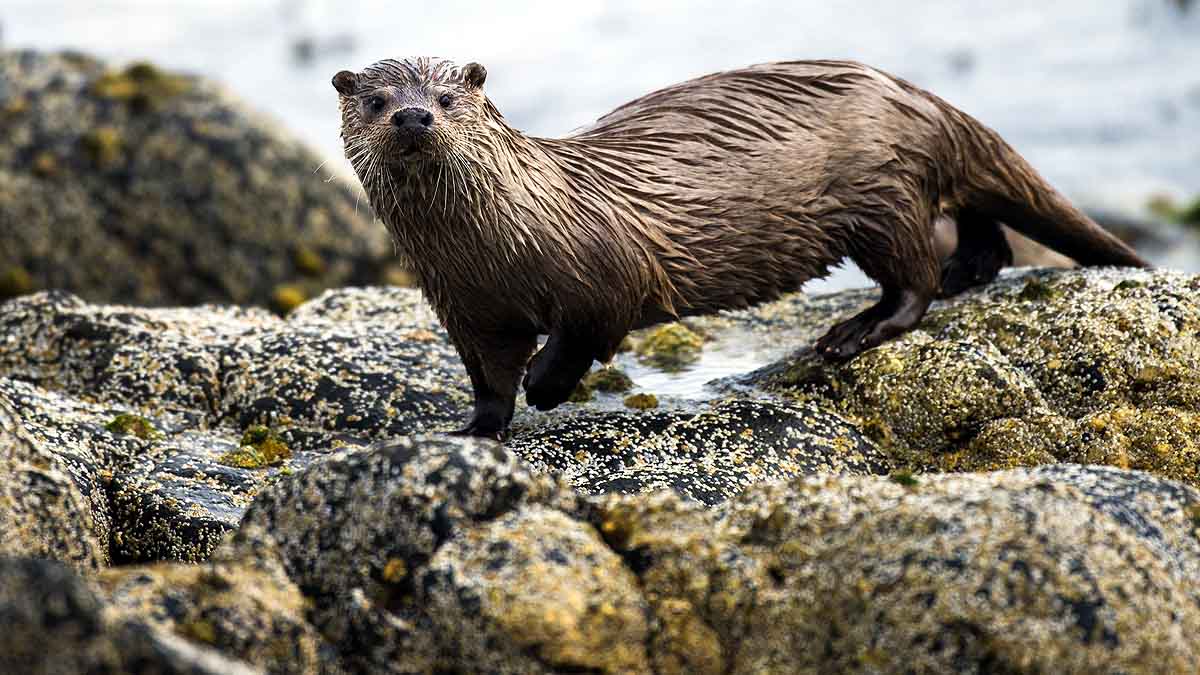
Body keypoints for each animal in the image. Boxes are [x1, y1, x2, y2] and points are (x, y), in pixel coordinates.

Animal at [332, 57, 1146, 438]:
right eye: (373, 100)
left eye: (447, 98)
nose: (412, 116)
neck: (507, 237)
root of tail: (916, 98)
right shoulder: (465, 309)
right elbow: (488, 378)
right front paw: (473, 428)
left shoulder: (605, 267)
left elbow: (590, 327)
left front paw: (548, 385)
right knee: (983, 227)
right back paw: (967, 268)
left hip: (877, 194)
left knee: (913, 279)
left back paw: (854, 332)